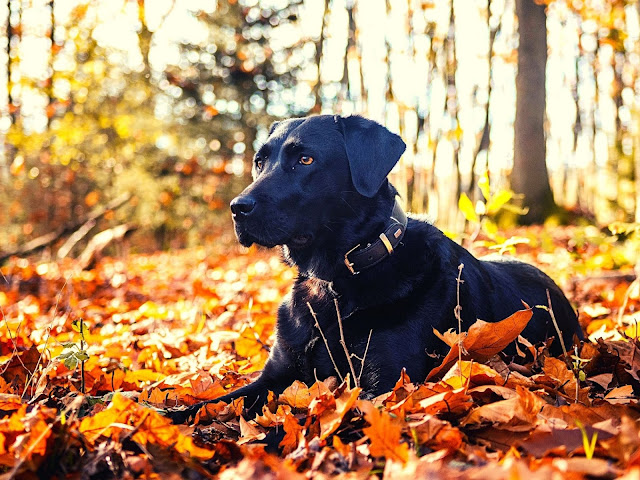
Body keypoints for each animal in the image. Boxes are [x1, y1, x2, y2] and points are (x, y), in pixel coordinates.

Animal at [170, 116, 580, 424]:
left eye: (306, 160)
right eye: (259, 161)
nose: (237, 208)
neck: (334, 282)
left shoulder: (384, 386)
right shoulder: (278, 373)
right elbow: (213, 403)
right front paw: (162, 418)